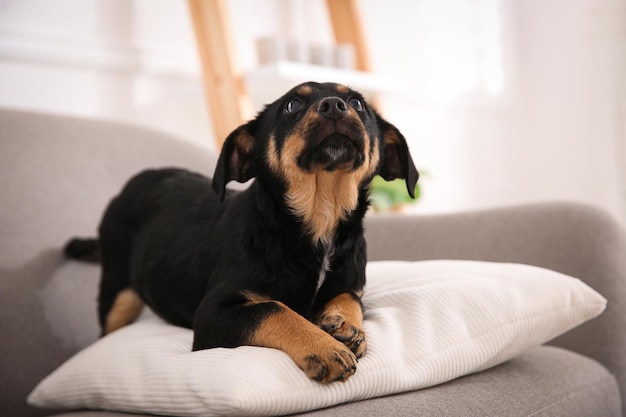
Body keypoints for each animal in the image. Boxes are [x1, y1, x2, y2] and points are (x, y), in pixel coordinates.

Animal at [66, 82, 416, 384]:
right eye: (292, 105)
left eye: (357, 103)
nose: (334, 106)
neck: (318, 224)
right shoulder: (210, 315)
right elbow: (273, 309)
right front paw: (324, 347)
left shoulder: (352, 283)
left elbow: (350, 298)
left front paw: (343, 325)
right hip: (116, 291)